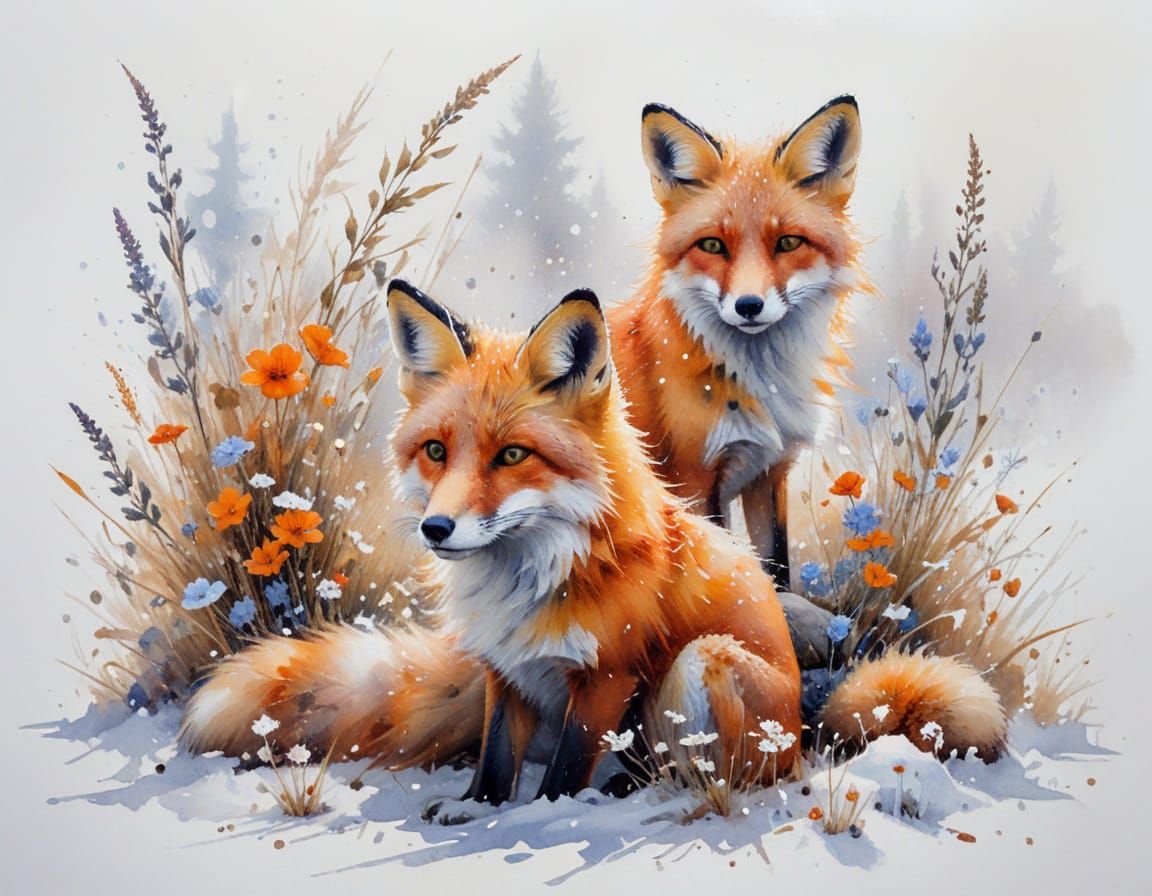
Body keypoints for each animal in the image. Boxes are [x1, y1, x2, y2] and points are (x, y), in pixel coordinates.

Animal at [180, 280, 1007, 820]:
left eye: (513, 456)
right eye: (437, 451)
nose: (437, 530)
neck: (531, 581)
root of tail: (808, 733)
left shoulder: (607, 679)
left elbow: (560, 772)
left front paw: (539, 817)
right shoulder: (505, 674)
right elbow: (495, 759)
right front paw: (475, 808)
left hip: (698, 668)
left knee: (722, 778)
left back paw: (643, 793)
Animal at [608, 96, 866, 590]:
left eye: (788, 242)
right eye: (712, 245)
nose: (749, 306)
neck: (757, 381)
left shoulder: (767, 473)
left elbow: (777, 570)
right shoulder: (691, 479)